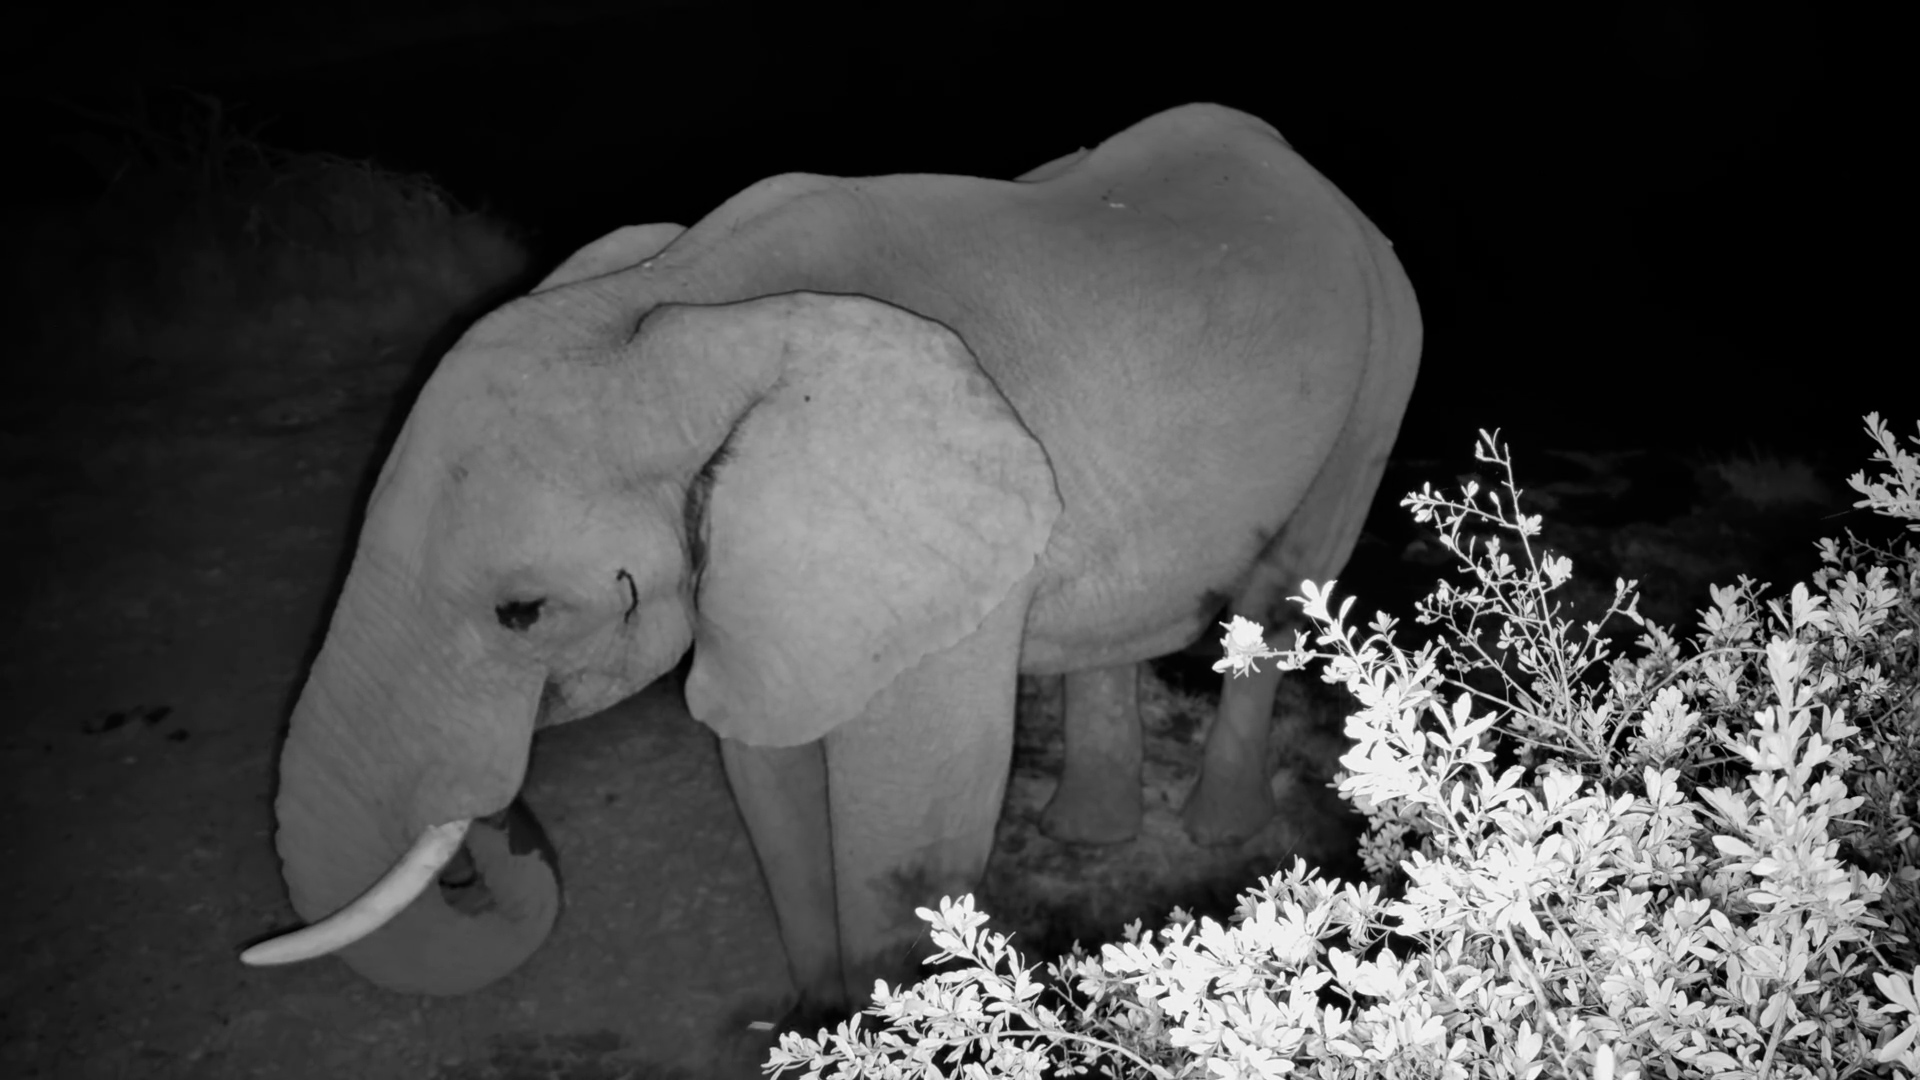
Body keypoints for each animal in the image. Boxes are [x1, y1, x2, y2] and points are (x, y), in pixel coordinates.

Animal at [239, 102, 1421, 1024]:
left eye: (522, 611)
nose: (508, 846)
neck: (677, 305)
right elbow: (768, 775)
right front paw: (819, 1025)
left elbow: (911, 823)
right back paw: (1086, 838)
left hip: (1383, 363)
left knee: (1283, 596)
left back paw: (1223, 831)